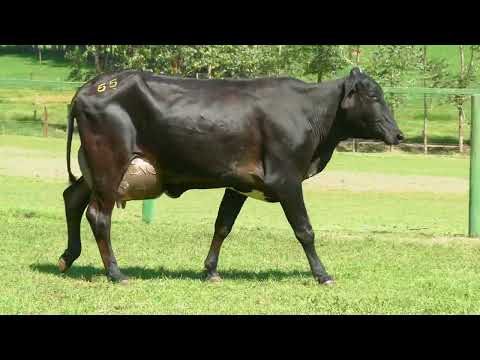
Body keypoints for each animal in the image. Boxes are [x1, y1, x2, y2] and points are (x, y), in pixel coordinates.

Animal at [60, 68, 404, 284]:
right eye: (373, 97)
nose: (399, 134)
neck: (310, 115)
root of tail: (91, 87)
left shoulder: (239, 183)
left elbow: (223, 225)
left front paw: (211, 271)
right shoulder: (287, 180)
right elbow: (305, 230)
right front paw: (322, 274)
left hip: (94, 171)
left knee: (72, 198)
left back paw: (67, 258)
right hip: (109, 165)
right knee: (98, 216)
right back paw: (116, 273)